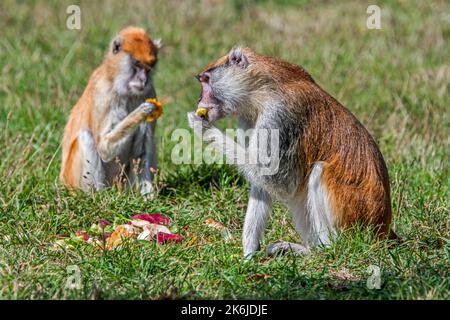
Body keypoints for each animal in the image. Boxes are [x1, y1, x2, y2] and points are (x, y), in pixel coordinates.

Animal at [60, 26, 161, 198]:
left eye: (149, 68)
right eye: (137, 64)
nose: (143, 80)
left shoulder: (149, 92)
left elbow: (143, 151)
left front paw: (149, 197)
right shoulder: (104, 93)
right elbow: (104, 148)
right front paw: (141, 112)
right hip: (75, 181)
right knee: (86, 137)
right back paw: (98, 196)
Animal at [188, 47, 396, 258]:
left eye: (206, 80)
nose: (199, 100)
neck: (260, 90)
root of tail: (383, 228)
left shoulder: (280, 116)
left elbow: (279, 181)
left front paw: (202, 126)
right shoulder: (249, 118)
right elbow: (262, 181)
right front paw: (249, 253)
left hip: (356, 217)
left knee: (318, 171)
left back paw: (325, 251)